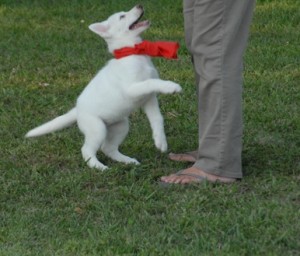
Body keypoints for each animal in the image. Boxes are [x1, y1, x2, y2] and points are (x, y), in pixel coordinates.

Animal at [26, 5, 180, 170]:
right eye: (122, 16)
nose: (140, 5)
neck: (132, 53)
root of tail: (77, 110)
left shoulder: (148, 98)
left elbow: (157, 118)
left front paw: (160, 141)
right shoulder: (132, 89)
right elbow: (151, 82)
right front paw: (171, 86)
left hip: (121, 125)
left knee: (108, 148)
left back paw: (127, 160)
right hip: (97, 129)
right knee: (87, 150)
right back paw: (99, 167)